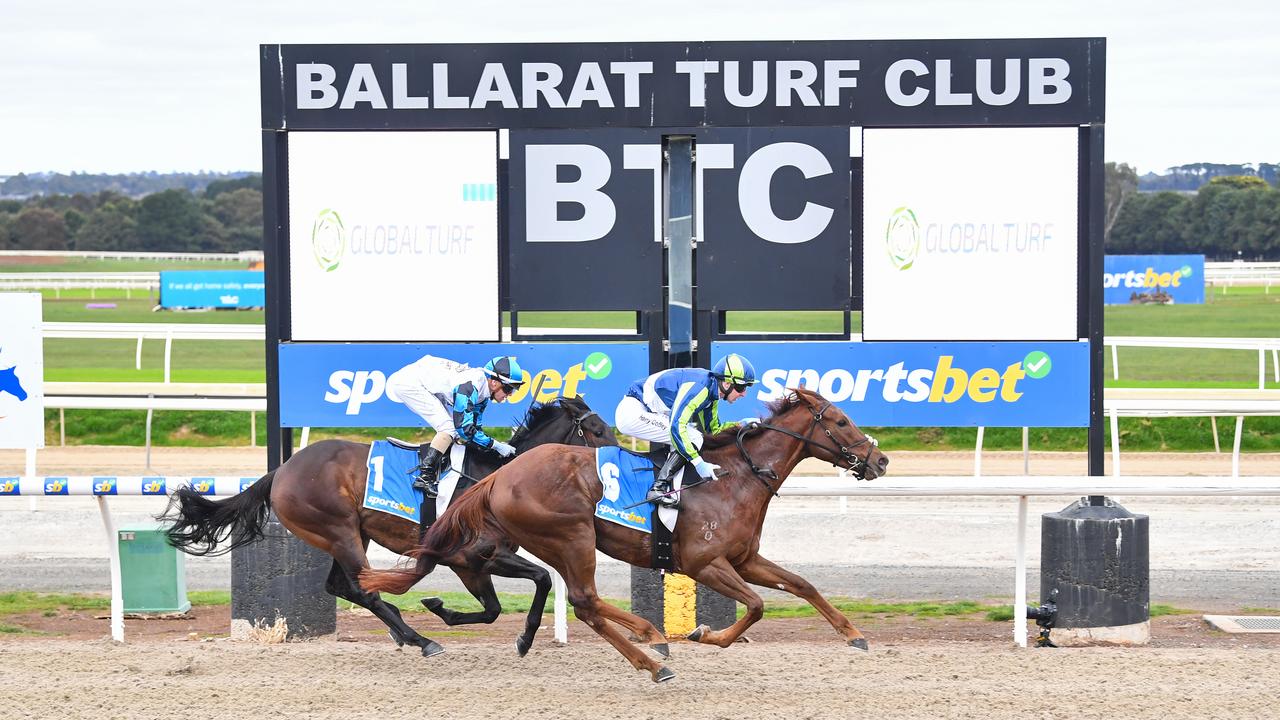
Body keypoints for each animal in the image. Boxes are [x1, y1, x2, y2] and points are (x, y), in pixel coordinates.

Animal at [159, 395, 616, 658]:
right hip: (338, 530)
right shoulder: (473, 555)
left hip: (349, 535)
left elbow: (494, 608)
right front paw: (519, 638)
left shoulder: (471, 563)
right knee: (362, 588)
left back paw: (403, 630)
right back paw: (421, 640)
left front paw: (445, 611)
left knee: (344, 586)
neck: (496, 475)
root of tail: (282, 470)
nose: (618, 463)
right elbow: (539, 580)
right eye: (596, 430)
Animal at [359, 387, 890, 682]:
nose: (881, 460)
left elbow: (802, 584)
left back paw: (650, 646)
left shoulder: (743, 559)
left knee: (583, 603)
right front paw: (704, 633)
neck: (734, 477)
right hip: (571, 537)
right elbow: (757, 606)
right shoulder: (705, 564)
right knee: (585, 601)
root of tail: (500, 475)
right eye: (840, 421)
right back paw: (654, 654)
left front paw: (854, 635)